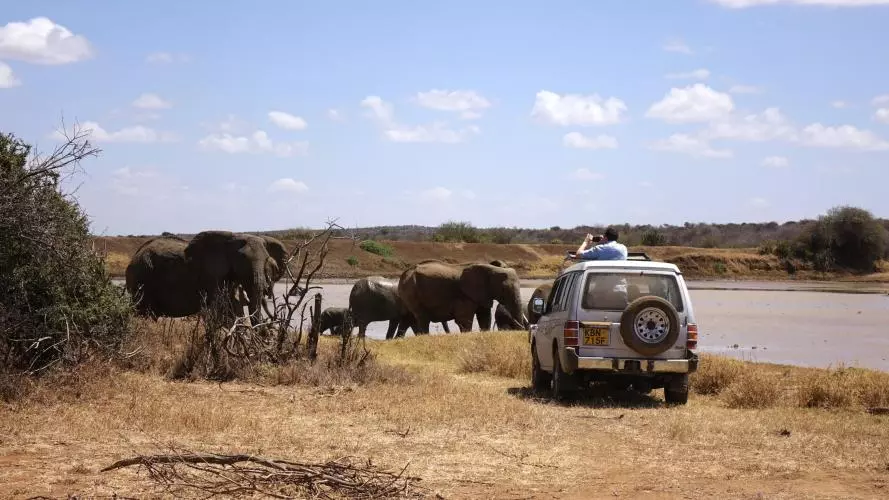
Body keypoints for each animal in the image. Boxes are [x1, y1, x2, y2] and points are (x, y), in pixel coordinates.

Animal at [397, 261, 526, 334]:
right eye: (503, 289)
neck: (491, 268)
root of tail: (403, 274)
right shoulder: (465, 295)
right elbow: (464, 318)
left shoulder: (482, 294)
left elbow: (484, 316)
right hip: (411, 292)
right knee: (422, 318)